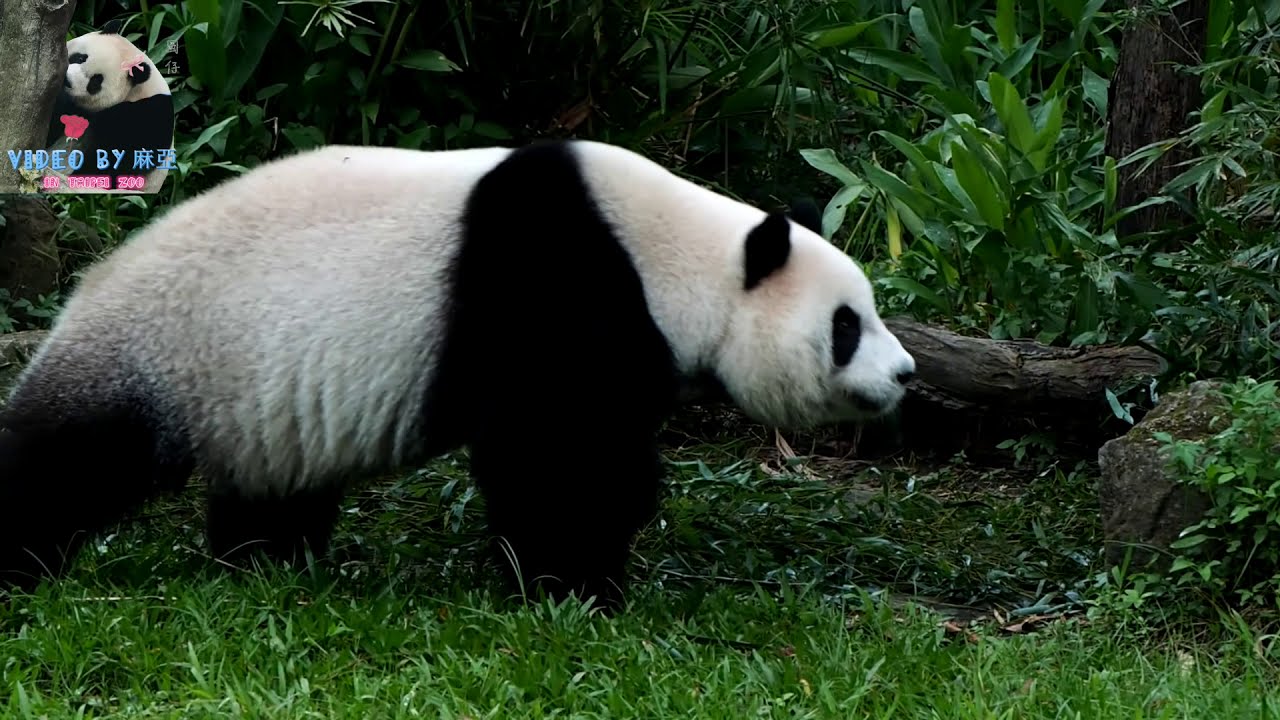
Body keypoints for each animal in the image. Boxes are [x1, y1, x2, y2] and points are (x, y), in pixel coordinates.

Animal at [0, 139, 915, 608]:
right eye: (846, 326)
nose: (906, 374)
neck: (675, 253)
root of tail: (82, 292)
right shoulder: (557, 283)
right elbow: (558, 456)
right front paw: (576, 586)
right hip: (165, 349)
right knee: (63, 459)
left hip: (256, 395)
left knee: (273, 484)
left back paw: (266, 563)